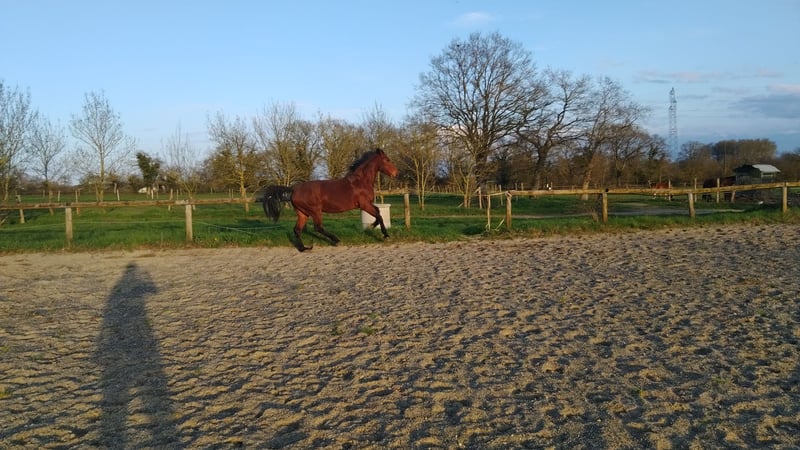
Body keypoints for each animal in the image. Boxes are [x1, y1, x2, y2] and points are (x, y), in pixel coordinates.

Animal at [259, 148, 399, 252]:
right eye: (387, 160)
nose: (396, 173)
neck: (360, 181)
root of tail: (293, 189)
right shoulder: (364, 204)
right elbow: (378, 215)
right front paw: (385, 235)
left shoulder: (367, 204)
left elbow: (378, 213)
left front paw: (371, 226)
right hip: (315, 211)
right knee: (318, 227)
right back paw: (336, 240)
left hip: (302, 213)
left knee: (297, 229)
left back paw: (304, 248)